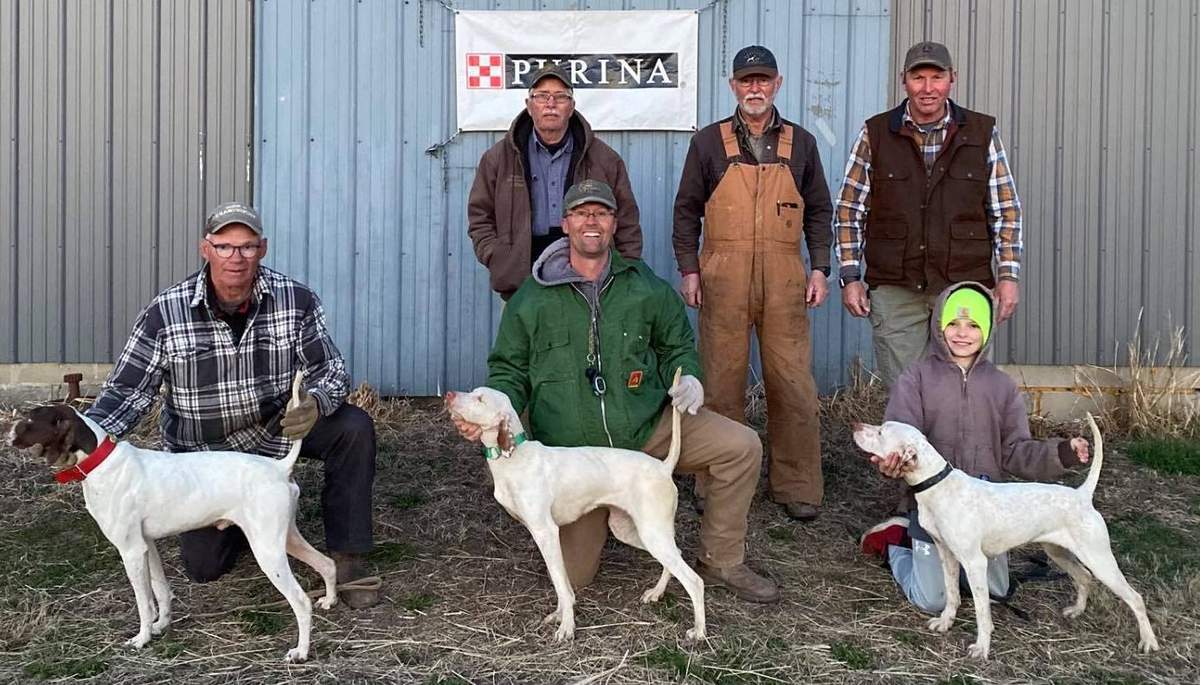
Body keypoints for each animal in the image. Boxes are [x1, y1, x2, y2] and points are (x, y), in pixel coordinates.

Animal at [9, 374, 338, 667]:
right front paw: (160, 626)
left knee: (301, 601)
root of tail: (279, 467)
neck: (102, 464)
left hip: (268, 550)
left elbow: (143, 602)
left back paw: (301, 652)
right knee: (327, 564)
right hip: (285, 538)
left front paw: (142, 639)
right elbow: (161, 592)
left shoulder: (131, 552)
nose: (9, 433)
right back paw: (330, 600)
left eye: (31, 419)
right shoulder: (146, 546)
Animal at [444, 369, 700, 643]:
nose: (448, 394)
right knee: (676, 557)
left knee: (695, 581)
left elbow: (560, 584)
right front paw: (560, 615)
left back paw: (699, 631)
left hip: (652, 534)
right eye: (473, 392)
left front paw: (567, 627)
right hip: (632, 531)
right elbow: (564, 584)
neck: (515, 458)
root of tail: (663, 467)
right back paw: (656, 593)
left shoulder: (545, 532)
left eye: (480, 399)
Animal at [849, 415, 1156, 662]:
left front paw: (982, 647)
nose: (855, 425)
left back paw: (1148, 641)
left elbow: (982, 611)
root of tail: (1082, 495)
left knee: (1135, 597)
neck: (938, 485)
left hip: (1100, 559)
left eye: (881, 432)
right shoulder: (946, 554)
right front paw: (946, 622)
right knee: (1083, 577)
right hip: (1058, 552)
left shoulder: (974, 563)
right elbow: (951, 594)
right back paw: (1077, 611)